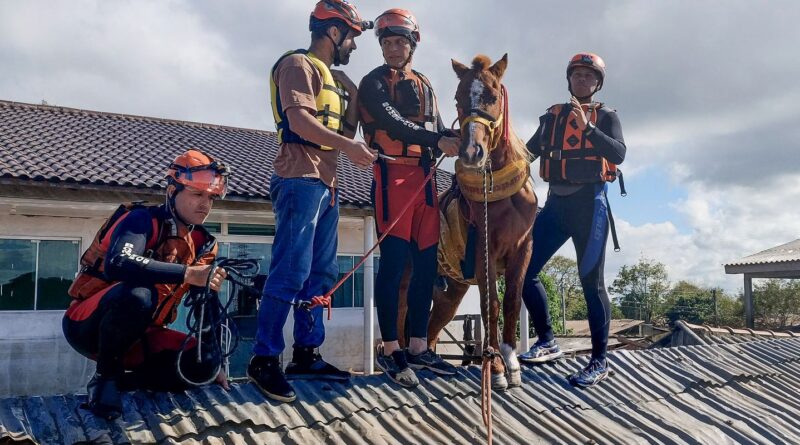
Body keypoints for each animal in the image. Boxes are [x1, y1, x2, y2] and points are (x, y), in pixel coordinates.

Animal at [400, 54, 536, 388]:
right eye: (458, 99)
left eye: (493, 96)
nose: (472, 152)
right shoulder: (484, 250)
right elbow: (491, 306)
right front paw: (496, 368)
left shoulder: (523, 248)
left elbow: (511, 301)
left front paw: (511, 361)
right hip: (409, 274)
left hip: (450, 290)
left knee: (434, 323)